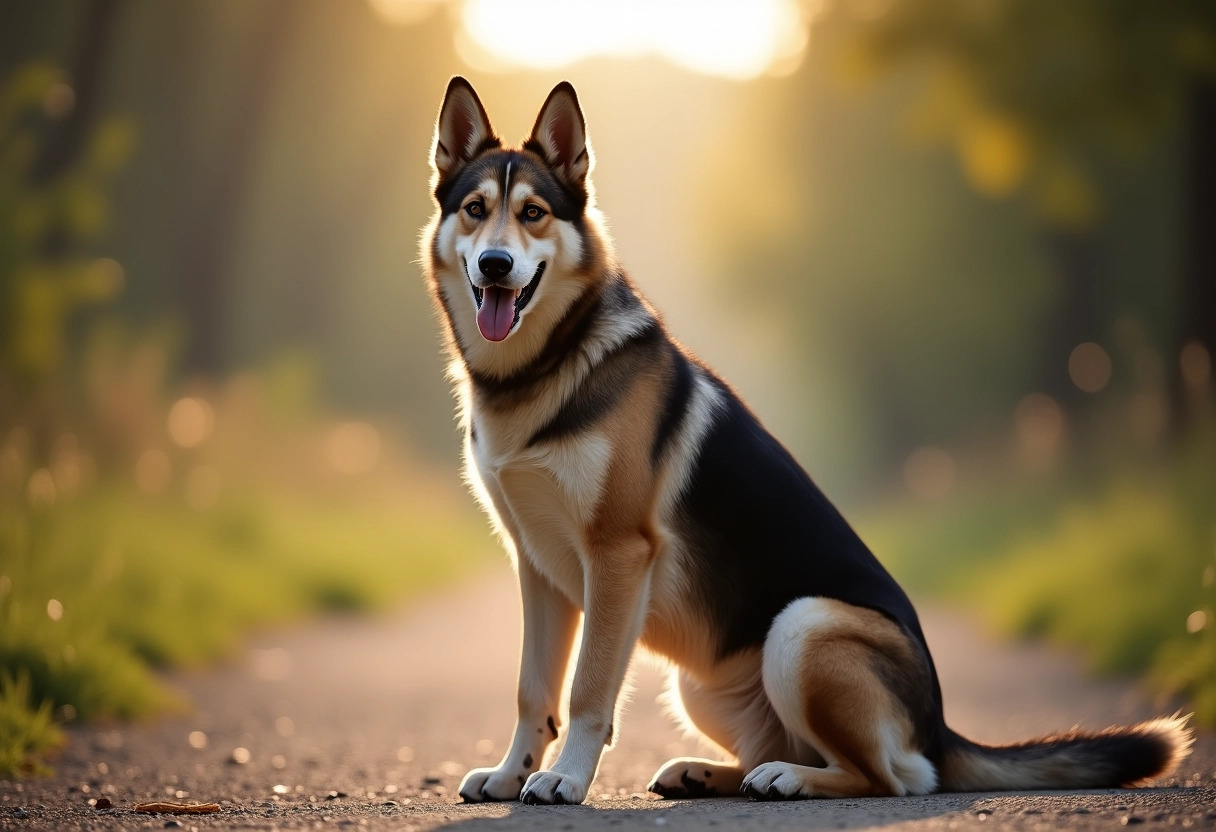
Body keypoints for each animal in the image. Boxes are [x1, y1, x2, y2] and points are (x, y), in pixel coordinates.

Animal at [418, 77, 1186, 807]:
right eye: (475, 209)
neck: (545, 366)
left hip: (803, 626)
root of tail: (940, 728)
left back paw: (792, 780)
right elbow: (533, 691)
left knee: (892, 776)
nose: (494, 265)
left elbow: (587, 691)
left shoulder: (616, 557)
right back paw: (713, 773)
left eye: (534, 214)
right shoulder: (540, 570)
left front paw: (566, 781)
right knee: (778, 752)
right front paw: (511, 774)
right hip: (702, 681)